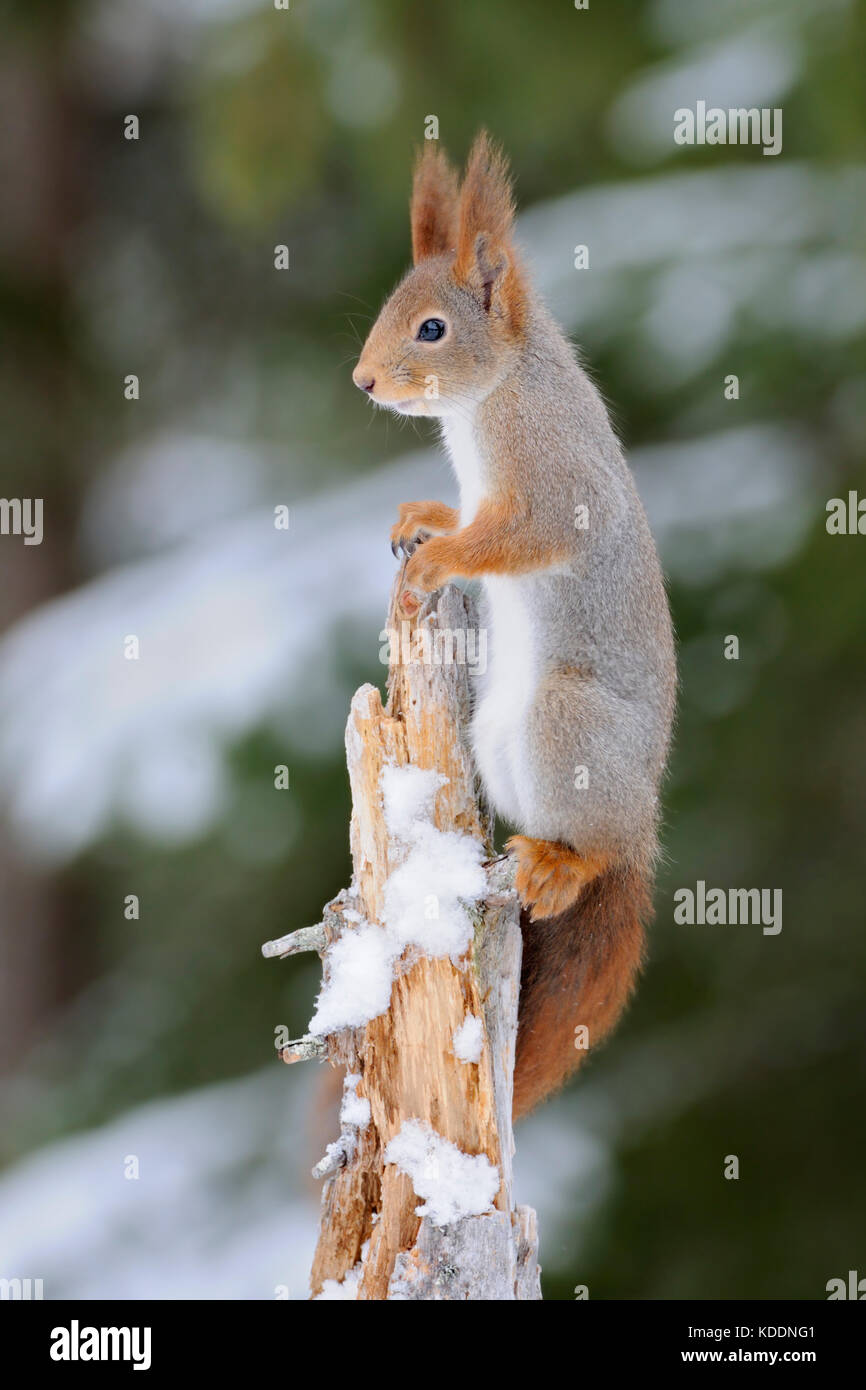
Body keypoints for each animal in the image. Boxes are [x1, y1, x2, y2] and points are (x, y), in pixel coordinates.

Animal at [353, 135, 678, 1117]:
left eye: (432, 329)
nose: (364, 380)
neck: (492, 392)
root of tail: (642, 828)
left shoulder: (553, 477)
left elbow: (518, 536)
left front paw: (438, 562)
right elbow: (464, 516)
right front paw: (420, 520)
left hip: (566, 725)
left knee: (594, 856)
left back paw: (568, 868)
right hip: (499, 748)